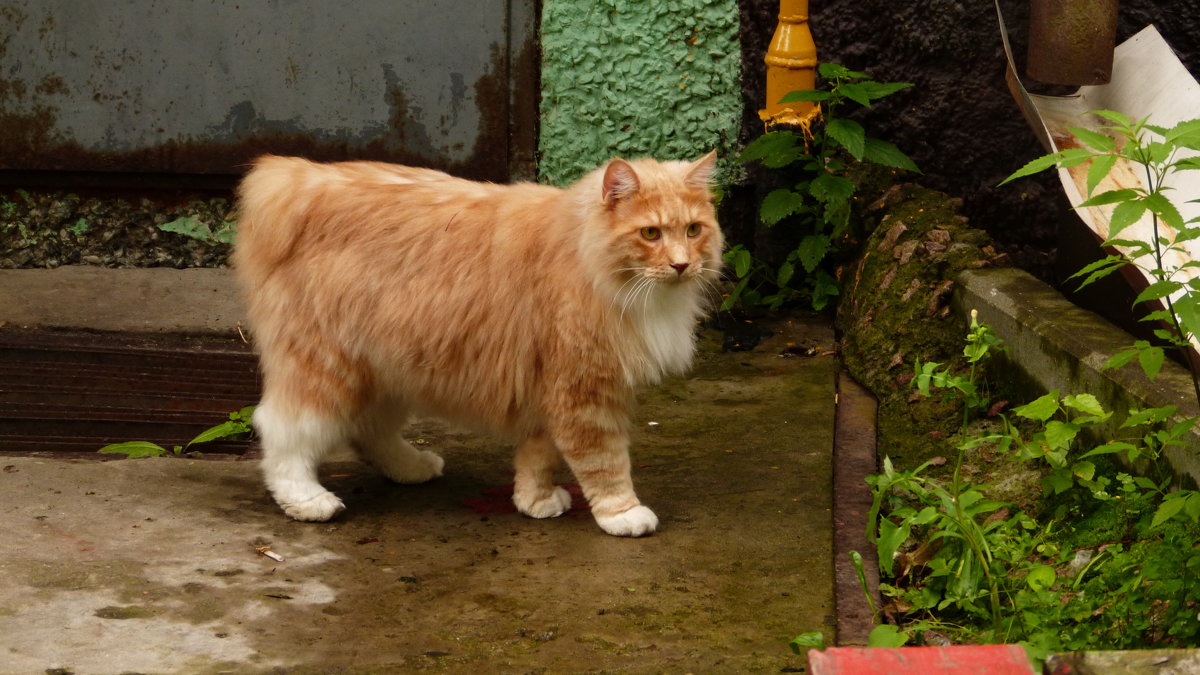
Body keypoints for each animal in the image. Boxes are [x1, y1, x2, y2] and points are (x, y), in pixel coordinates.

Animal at [231, 152, 720, 535]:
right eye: (651, 234)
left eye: (694, 231)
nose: (681, 265)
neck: (585, 255)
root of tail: (297, 175)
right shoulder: (583, 391)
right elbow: (604, 462)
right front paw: (621, 513)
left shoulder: (549, 386)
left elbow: (538, 456)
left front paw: (534, 502)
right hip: (326, 365)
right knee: (283, 432)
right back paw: (307, 500)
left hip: (388, 366)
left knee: (368, 429)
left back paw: (410, 468)